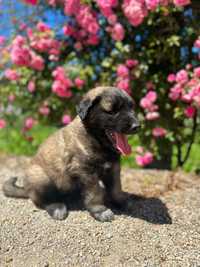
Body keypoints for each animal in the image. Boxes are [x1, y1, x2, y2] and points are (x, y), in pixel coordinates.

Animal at [2, 87, 140, 223]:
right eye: (112, 111)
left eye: (131, 107)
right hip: (41, 177)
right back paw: (57, 207)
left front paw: (122, 201)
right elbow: (95, 192)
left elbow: (116, 188)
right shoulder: (86, 172)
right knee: (43, 200)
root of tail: (27, 189)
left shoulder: (113, 168)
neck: (94, 139)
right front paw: (100, 210)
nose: (137, 126)